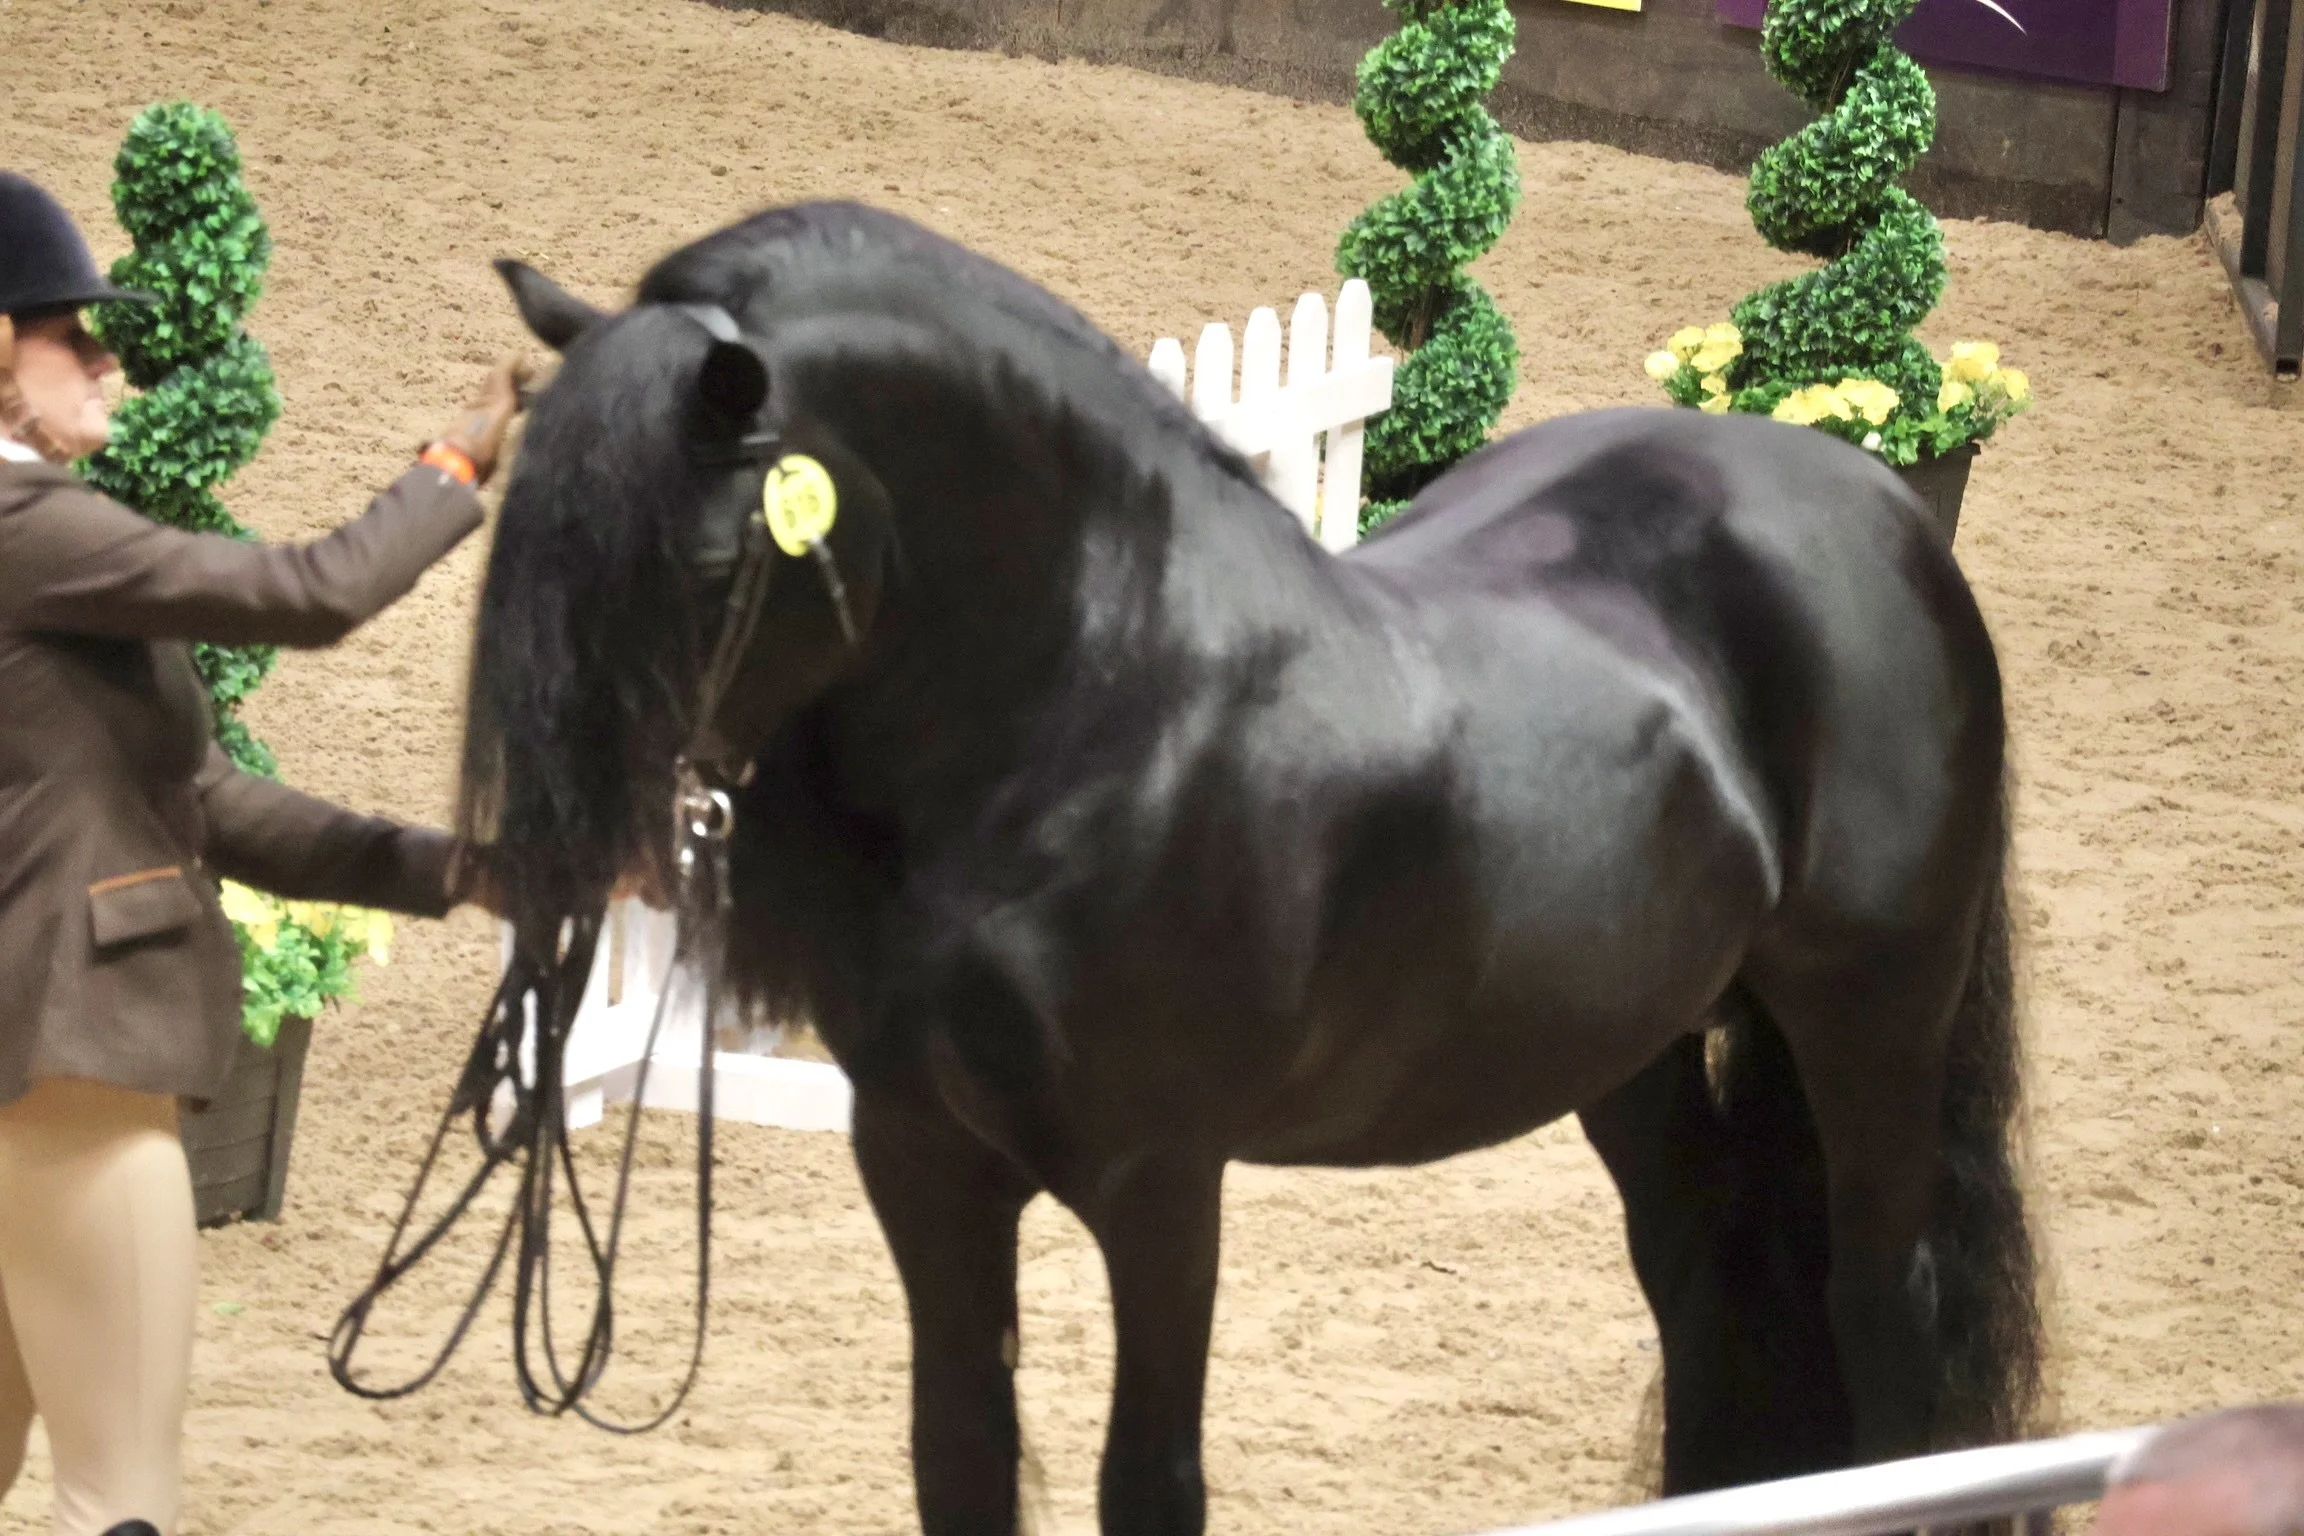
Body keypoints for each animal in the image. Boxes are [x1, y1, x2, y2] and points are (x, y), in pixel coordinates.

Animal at [459, 200, 2042, 1535]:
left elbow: (1147, 1484)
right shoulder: (921, 1160)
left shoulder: (1162, 1186)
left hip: (1871, 1021)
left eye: (710, 563)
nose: (548, 851)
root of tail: (1874, 506)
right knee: (1702, 1268)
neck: (1096, 716)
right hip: (1627, 1045)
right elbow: (960, 1455)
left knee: (1883, 1306)